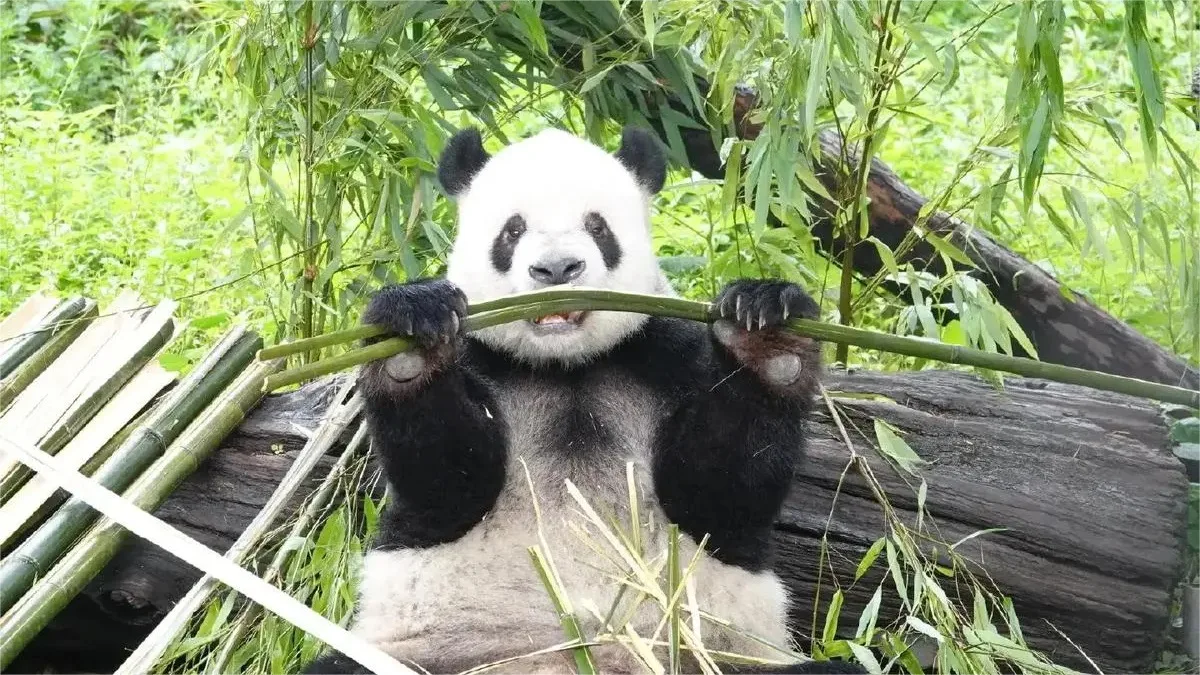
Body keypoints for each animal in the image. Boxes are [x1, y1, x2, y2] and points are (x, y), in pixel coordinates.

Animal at [303, 126, 864, 675]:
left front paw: (767, 334)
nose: (557, 269)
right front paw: (412, 335)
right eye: (512, 230)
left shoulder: (663, 354)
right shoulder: (482, 357)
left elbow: (719, 498)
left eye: (598, 227)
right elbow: (442, 488)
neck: (567, 366)